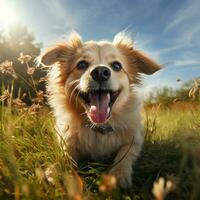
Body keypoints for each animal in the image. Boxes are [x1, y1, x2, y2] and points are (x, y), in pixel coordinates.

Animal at [39, 32, 160, 188]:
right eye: (81, 64)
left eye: (117, 65)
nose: (100, 72)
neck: (99, 126)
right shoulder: (68, 143)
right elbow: (65, 156)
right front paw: (55, 169)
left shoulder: (134, 140)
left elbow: (125, 155)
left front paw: (119, 173)